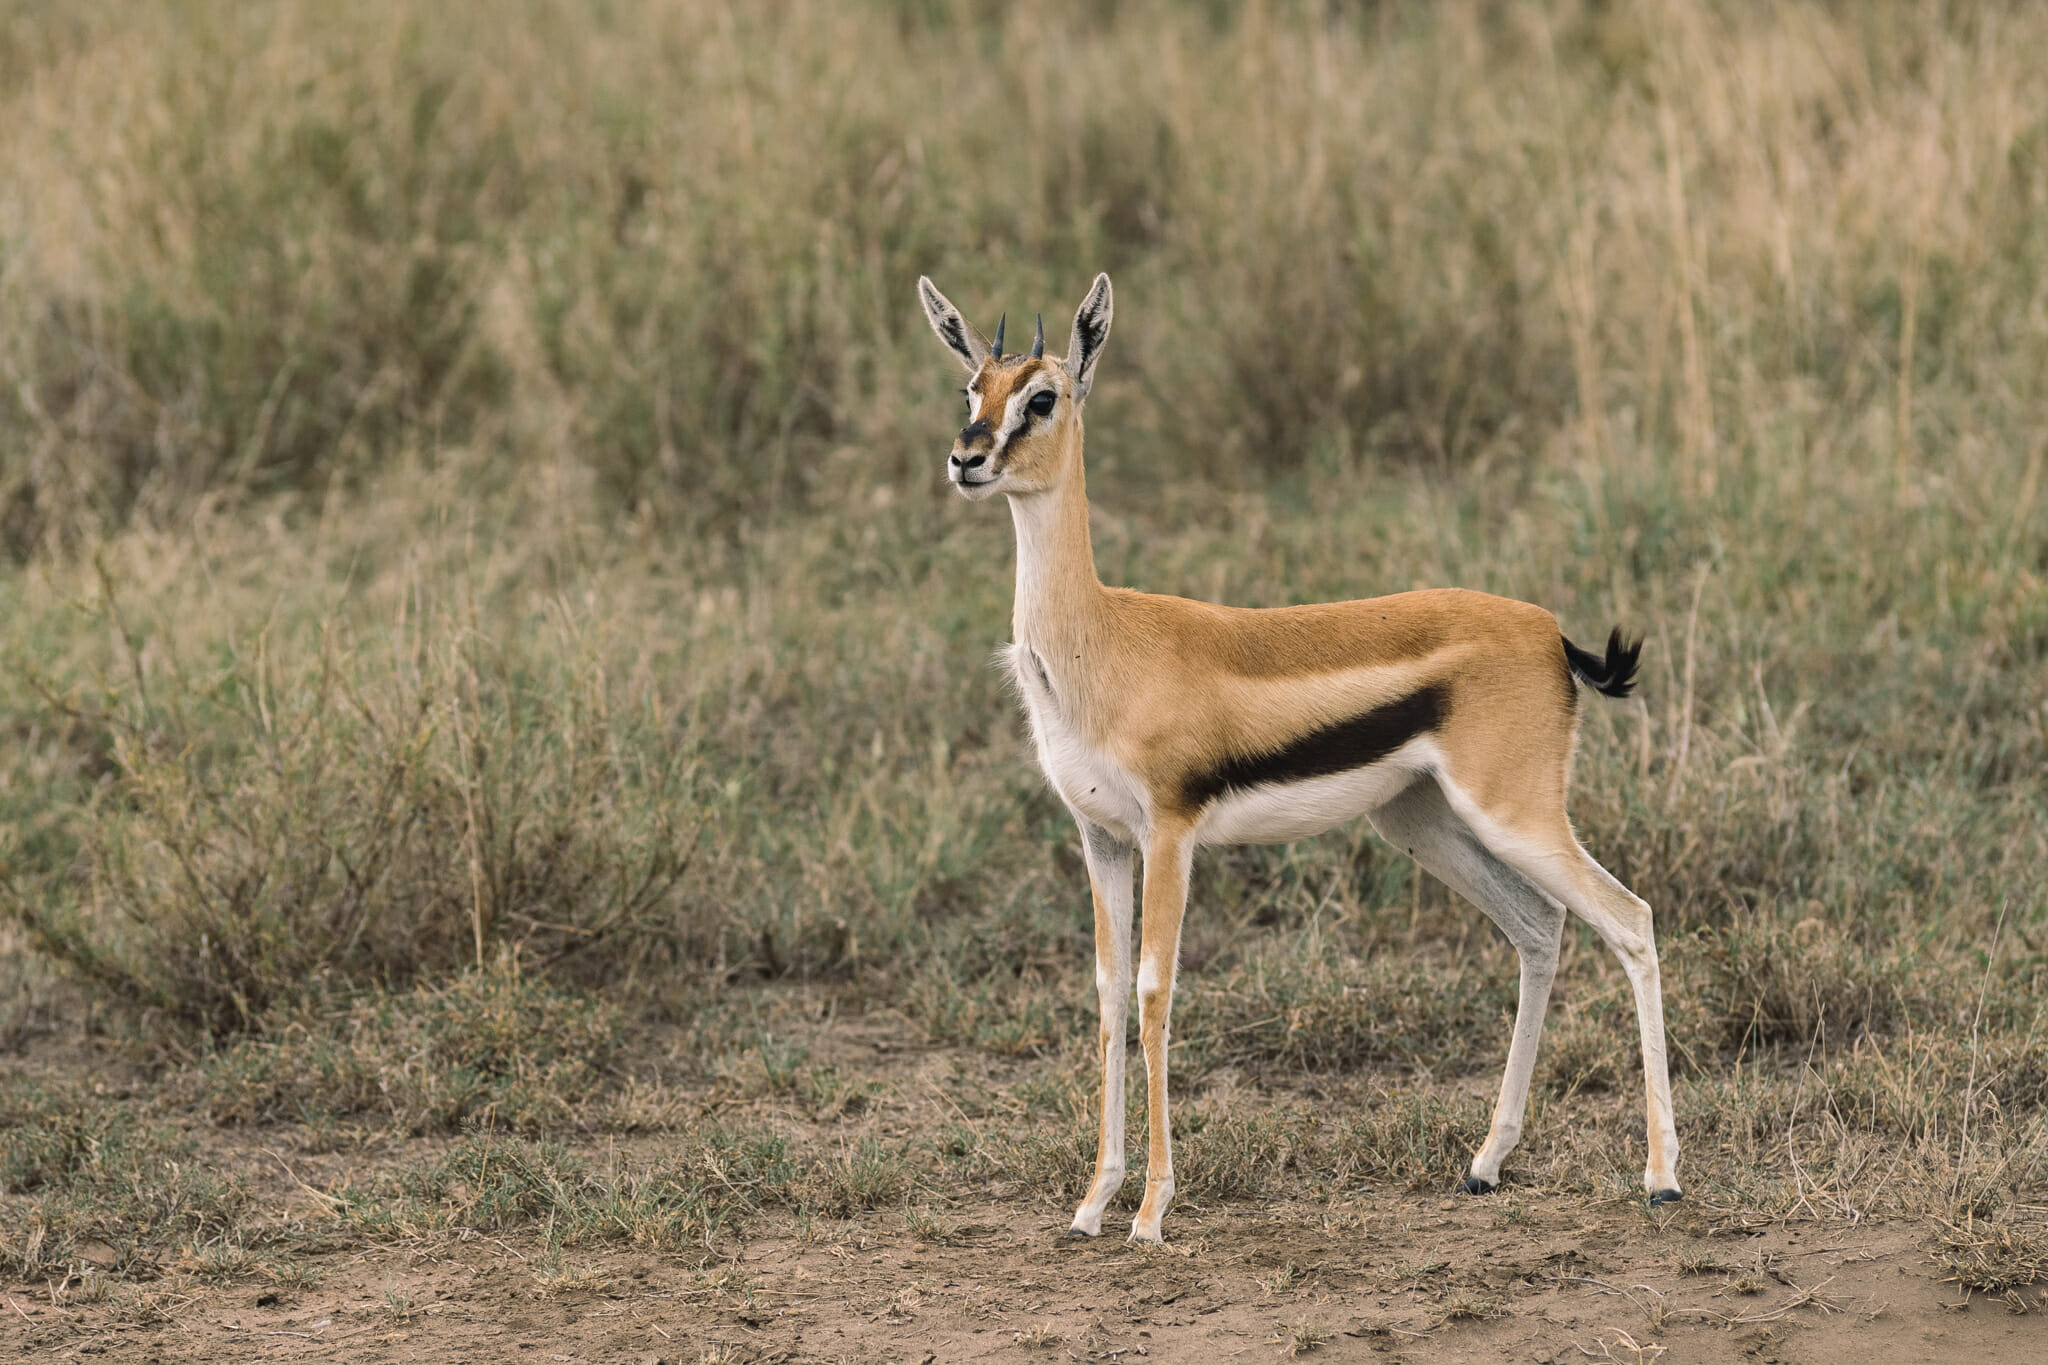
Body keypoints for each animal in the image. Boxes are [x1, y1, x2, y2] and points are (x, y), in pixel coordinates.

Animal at [917, 273, 1680, 1243]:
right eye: (970, 389)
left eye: (1042, 396)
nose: (965, 459)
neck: (1101, 639)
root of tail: (1550, 634)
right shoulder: (1102, 837)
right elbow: (1107, 993)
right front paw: (1092, 1202)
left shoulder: (1171, 832)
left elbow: (1155, 993)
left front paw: (1151, 1212)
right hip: (1423, 822)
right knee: (1540, 928)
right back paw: (1485, 1163)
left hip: (1515, 814)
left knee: (1631, 919)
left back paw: (1661, 1177)